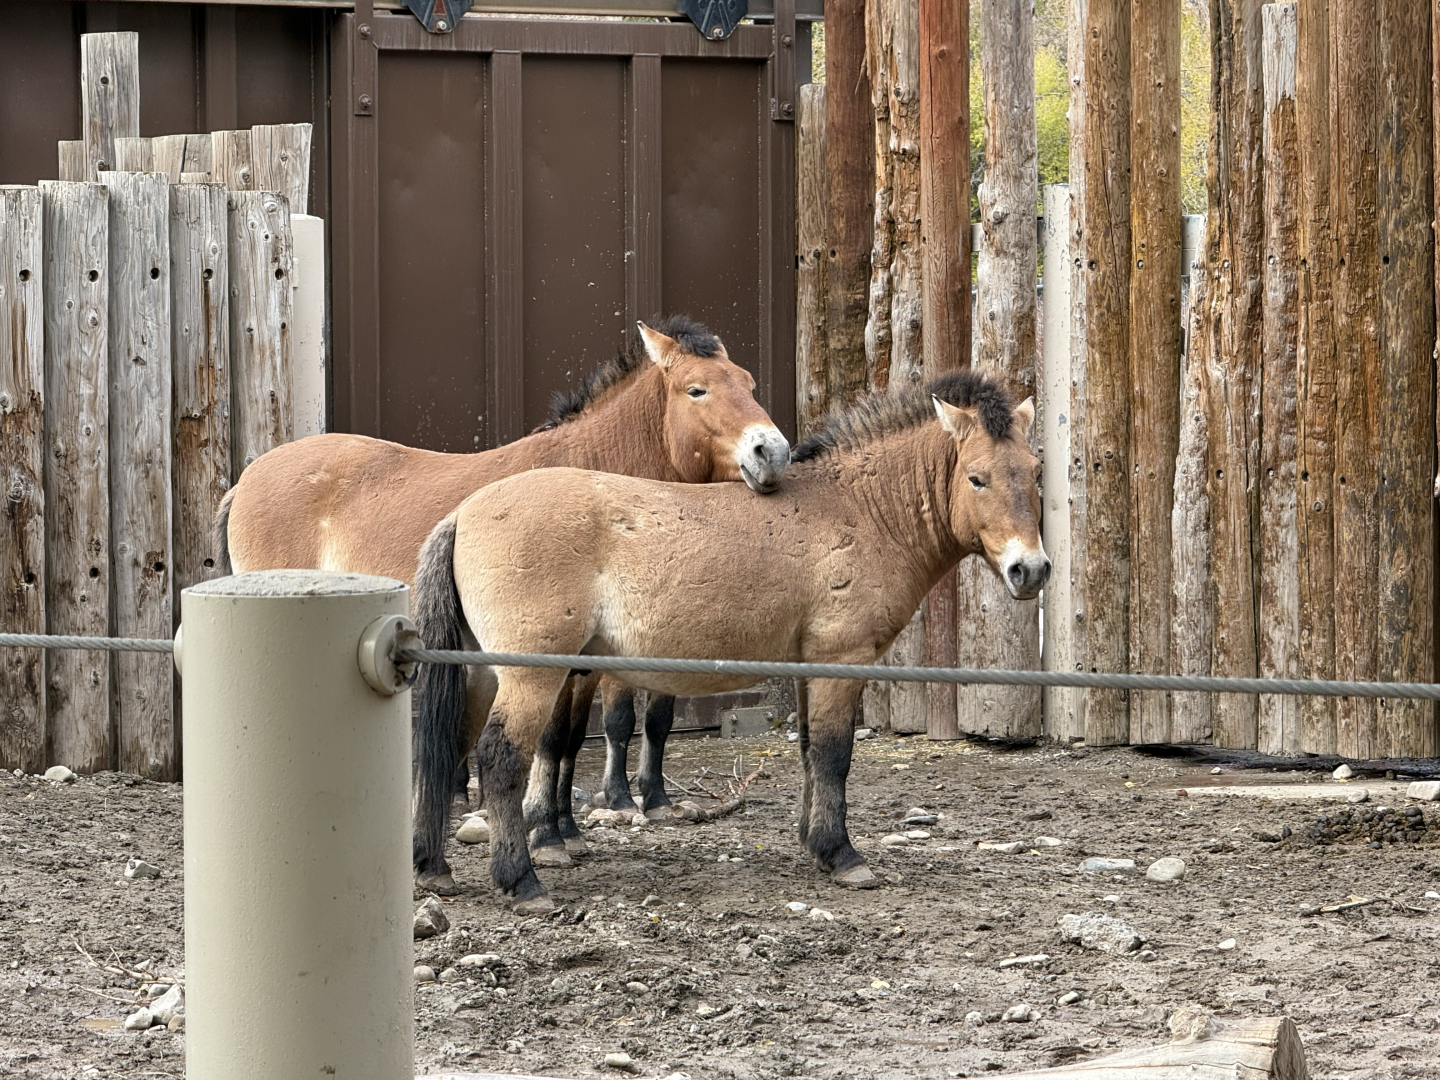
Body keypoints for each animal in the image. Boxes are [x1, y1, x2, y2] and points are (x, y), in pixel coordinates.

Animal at [217, 315, 790, 868]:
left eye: (748, 383)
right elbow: (552, 739)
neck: (592, 483)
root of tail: (246, 480)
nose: (774, 451)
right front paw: (545, 834)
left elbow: (571, 738)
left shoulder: (584, 664)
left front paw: (565, 832)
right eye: (697, 390)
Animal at [411, 371, 1048, 911]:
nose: (1031, 570)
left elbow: (810, 751)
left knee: (445, 749)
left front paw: (814, 844)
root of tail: (463, 514)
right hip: (530, 675)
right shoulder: (840, 661)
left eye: (1036, 472)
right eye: (976, 478)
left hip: (481, 673)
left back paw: (433, 868)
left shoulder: (807, 667)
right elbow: (834, 754)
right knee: (499, 758)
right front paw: (843, 856)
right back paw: (521, 881)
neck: (859, 510)